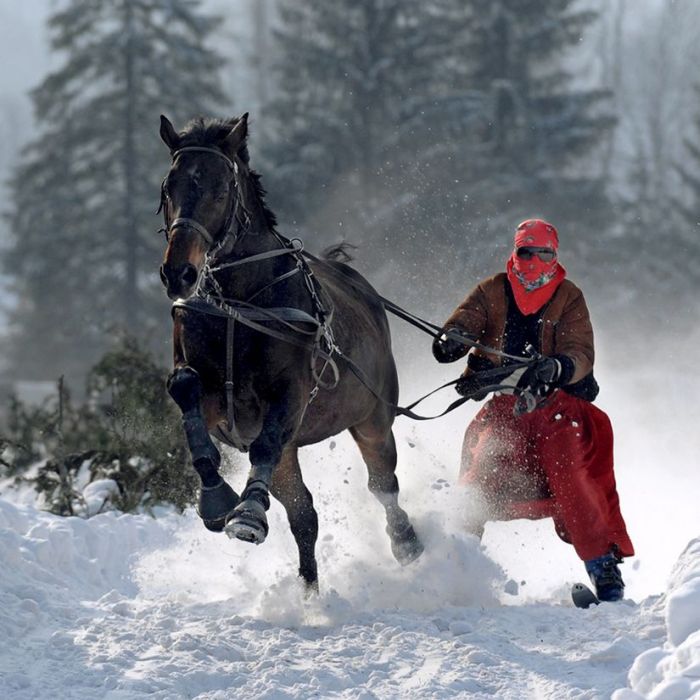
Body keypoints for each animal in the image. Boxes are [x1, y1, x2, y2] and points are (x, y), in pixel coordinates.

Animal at [157, 115, 422, 592]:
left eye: (221, 188)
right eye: (169, 187)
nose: (179, 272)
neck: (238, 305)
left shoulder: (290, 397)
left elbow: (265, 444)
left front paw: (246, 513)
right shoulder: (214, 398)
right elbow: (185, 387)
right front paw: (217, 498)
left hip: (373, 417)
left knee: (382, 483)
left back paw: (404, 540)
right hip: (294, 451)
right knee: (304, 515)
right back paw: (308, 590)